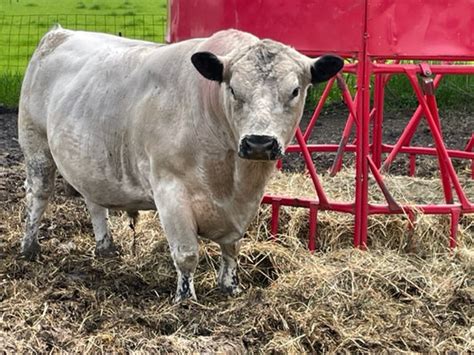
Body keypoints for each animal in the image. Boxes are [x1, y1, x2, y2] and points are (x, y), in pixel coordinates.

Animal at [18, 26, 342, 302]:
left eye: (295, 91)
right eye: (233, 90)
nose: (259, 142)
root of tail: (59, 33)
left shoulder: (245, 203)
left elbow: (232, 248)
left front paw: (231, 287)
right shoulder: (170, 190)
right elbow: (186, 253)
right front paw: (185, 300)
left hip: (90, 162)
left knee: (94, 203)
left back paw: (106, 248)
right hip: (36, 146)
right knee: (38, 196)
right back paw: (29, 248)